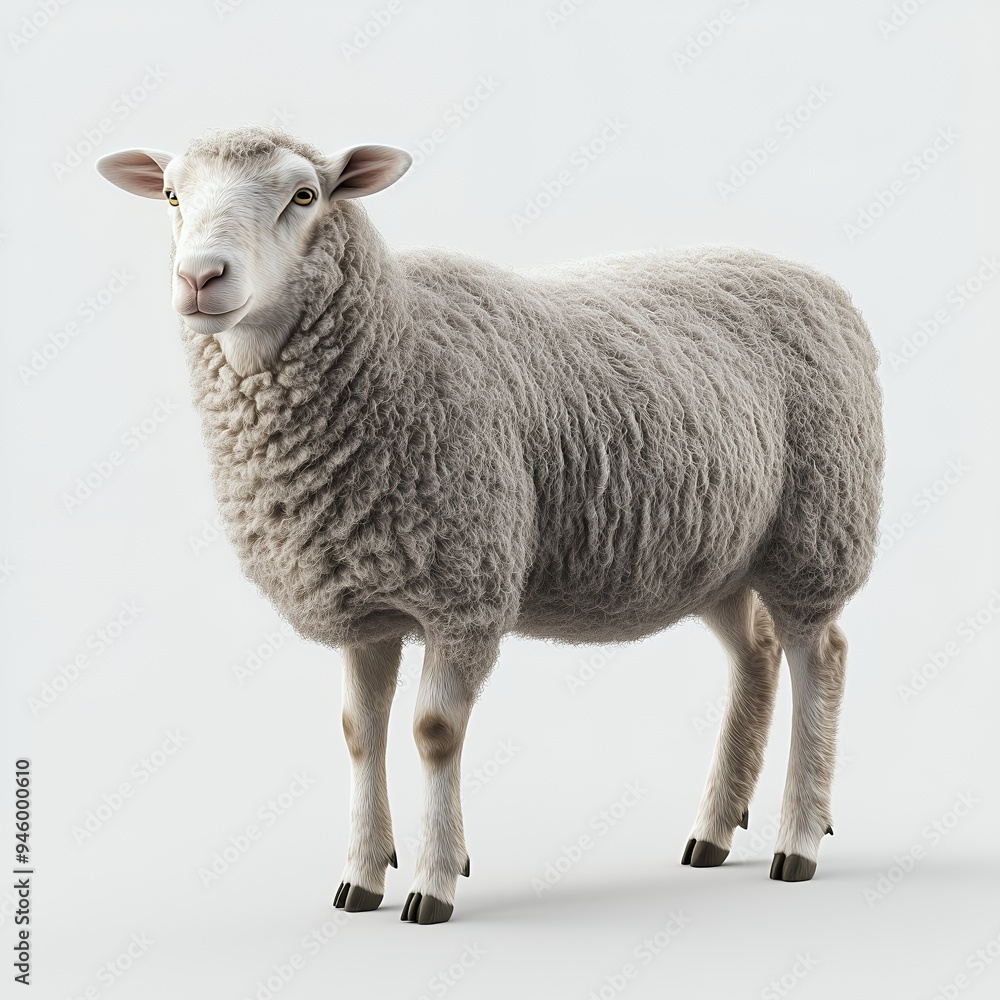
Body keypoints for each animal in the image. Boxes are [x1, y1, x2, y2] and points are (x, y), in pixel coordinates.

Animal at [96, 125, 883, 924]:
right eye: (172, 195)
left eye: (305, 194)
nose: (200, 277)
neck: (399, 344)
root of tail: (816, 279)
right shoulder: (363, 600)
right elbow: (359, 735)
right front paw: (361, 876)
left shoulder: (465, 592)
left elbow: (434, 733)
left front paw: (433, 882)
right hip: (721, 555)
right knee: (755, 655)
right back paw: (715, 830)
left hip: (816, 529)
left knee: (820, 656)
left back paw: (798, 840)